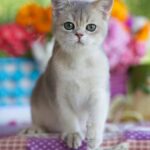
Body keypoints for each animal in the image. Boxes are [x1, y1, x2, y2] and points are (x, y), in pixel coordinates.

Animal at [30, 0, 113, 149]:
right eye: (69, 25)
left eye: (91, 27)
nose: (79, 34)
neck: (80, 61)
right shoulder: (58, 94)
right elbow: (68, 116)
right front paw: (73, 134)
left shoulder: (100, 92)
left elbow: (97, 115)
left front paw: (94, 136)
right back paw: (35, 129)